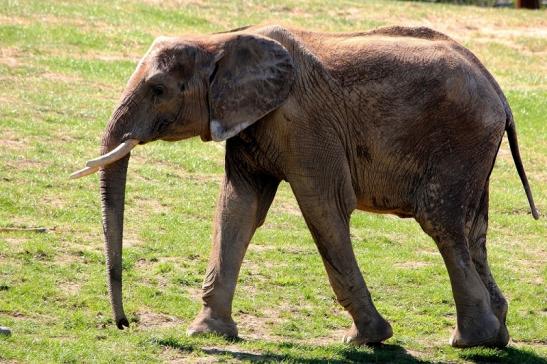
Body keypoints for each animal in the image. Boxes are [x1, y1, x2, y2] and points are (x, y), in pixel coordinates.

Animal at [71, 24, 540, 348]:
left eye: (158, 88)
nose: (124, 324)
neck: (221, 40)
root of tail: (498, 89)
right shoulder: (253, 123)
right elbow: (238, 207)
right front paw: (208, 333)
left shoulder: (302, 124)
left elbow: (323, 207)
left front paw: (366, 339)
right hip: (474, 152)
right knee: (474, 231)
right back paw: (497, 336)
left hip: (458, 141)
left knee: (443, 225)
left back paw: (470, 341)